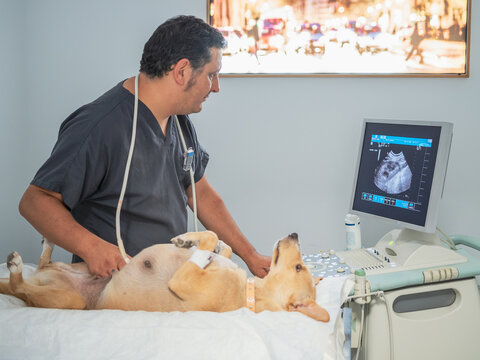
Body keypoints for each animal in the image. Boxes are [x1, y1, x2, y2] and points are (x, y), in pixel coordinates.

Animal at [0, 232, 330, 322]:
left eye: (299, 267)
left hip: (67, 300)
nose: (295, 234)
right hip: (75, 267)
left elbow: (212, 243)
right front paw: (189, 240)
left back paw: (15, 267)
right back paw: (45, 246)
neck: (250, 290)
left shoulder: (184, 281)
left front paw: (193, 243)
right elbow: (220, 241)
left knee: (21, 288)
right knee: (37, 268)